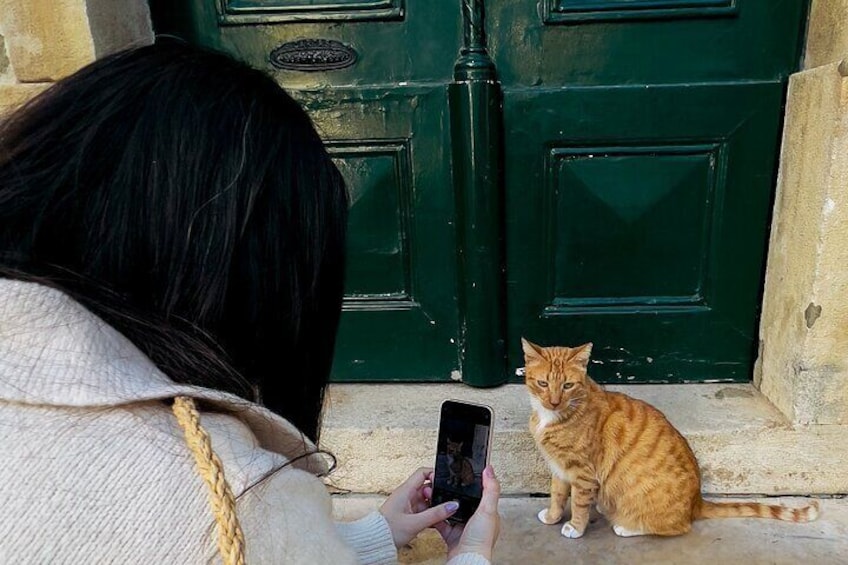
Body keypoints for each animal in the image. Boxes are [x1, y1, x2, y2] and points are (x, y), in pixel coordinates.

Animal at [520, 338, 820, 540]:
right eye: (543, 384)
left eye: (568, 385)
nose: (554, 401)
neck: (552, 416)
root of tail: (697, 503)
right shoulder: (560, 469)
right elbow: (558, 496)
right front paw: (553, 517)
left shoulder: (583, 475)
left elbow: (579, 505)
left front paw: (575, 527)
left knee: (676, 527)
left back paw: (627, 526)